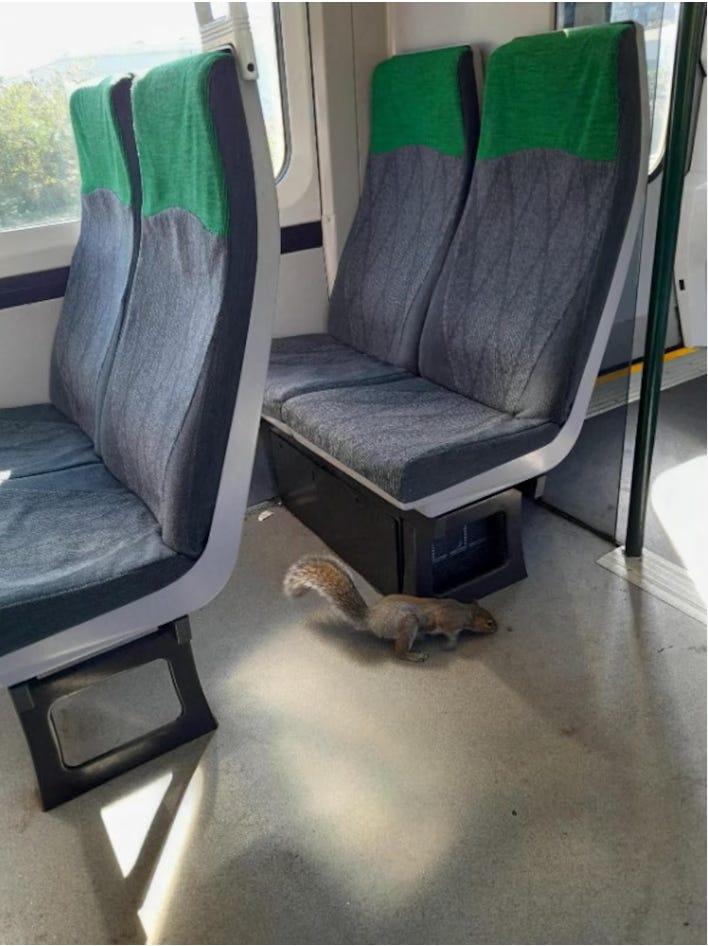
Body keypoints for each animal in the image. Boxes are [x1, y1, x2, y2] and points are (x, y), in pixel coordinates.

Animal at [284, 548, 498, 660]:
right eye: (489, 623)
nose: (496, 628)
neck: (465, 611)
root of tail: (371, 619)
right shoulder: (449, 621)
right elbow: (449, 633)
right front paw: (451, 645)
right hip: (408, 623)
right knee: (398, 651)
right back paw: (414, 655)